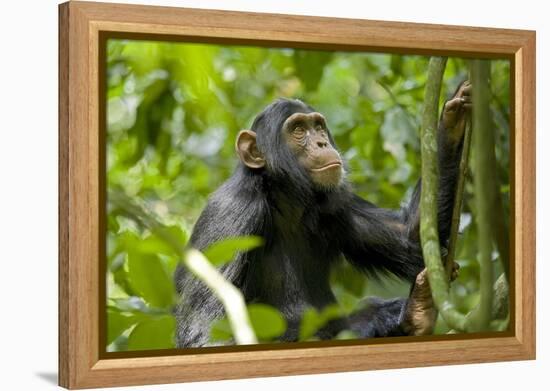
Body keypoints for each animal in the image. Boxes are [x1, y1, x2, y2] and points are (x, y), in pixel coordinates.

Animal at [175, 81, 472, 348]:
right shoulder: (231, 215)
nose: (321, 142)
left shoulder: (336, 204)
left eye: (317, 126)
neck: (284, 199)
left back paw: (415, 312)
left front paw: (453, 117)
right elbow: (208, 334)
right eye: (297, 130)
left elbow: (409, 237)